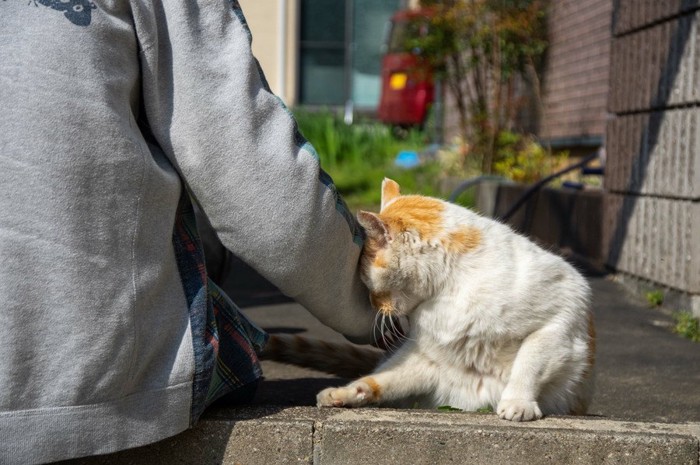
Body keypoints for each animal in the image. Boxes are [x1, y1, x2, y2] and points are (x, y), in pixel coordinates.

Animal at [260, 178, 592, 420]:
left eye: (366, 282)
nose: (373, 305)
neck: (448, 290)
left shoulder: (555, 322)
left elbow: (528, 365)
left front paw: (518, 403)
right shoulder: (428, 358)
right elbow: (383, 380)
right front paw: (349, 392)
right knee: (380, 378)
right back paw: (345, 394)